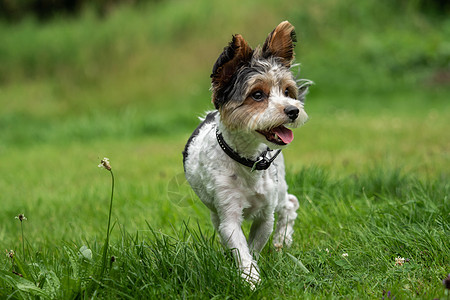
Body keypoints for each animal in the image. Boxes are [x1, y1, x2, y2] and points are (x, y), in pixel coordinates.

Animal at [181, 21, 312, 286]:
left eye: (287, 91)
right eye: (257, 95)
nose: (293, 110)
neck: (248, 159)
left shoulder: (266, 214)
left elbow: (254, 244)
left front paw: (252, 272)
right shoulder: (228, 212)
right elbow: (239, 246)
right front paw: (250, 277)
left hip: (279, 190)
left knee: (290, 204)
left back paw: (283, 240)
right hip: (215, 211)